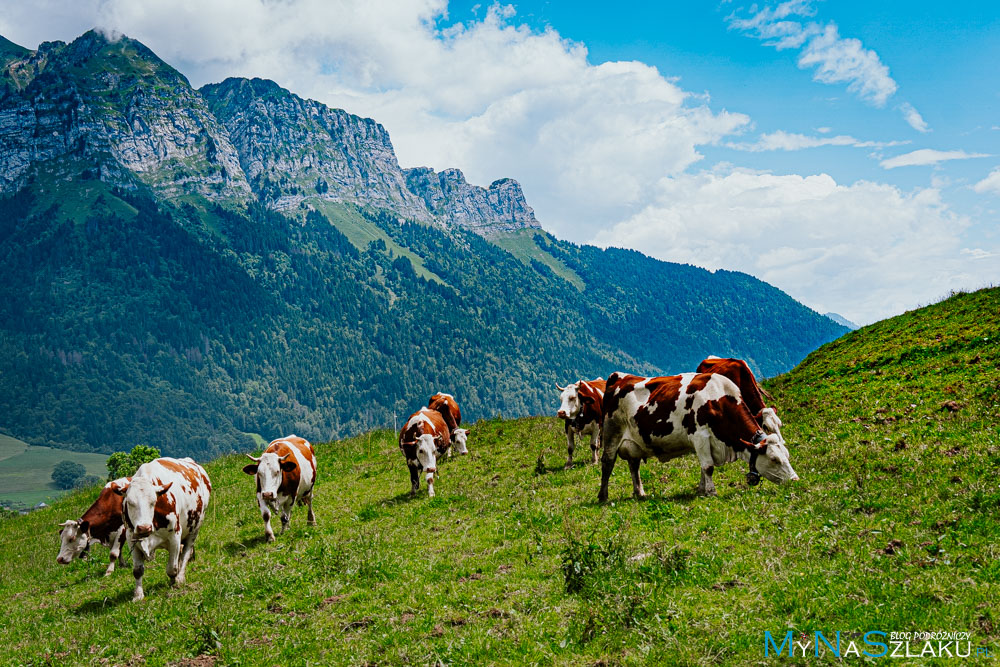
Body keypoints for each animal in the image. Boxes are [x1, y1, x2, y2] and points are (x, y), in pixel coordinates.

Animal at [113, 456, 211, 604]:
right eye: (129, 502)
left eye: (154, 502)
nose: (144, 527)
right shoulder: (132, 538)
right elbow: (137, 570)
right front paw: (138, 595)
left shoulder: (175, 536)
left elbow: (172, 568)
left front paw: (174, 582)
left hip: (195, 528)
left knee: (186, 552)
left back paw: (181, 577)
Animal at [596, 370, 800, 500]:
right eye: (774, 459)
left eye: (787, 455)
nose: (795, 480)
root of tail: (619, 376)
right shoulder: (699, 436)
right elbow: (708, 467)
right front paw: (711, 492)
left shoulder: (707, 443)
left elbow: (704, 467)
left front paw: (702, 490)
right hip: (612, 432)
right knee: (608, 462)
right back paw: (603, 496)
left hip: (634, 441)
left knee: (634, 464)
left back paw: (639, 493)